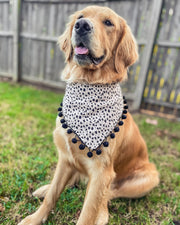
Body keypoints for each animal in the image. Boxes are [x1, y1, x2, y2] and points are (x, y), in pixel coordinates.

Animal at [18, 5, 159, 225]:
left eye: (108, 22)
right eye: (81, 16)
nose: (81, 26)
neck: (88, 83)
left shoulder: (102, 173)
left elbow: (88, 212)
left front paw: (94, 212)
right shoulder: (65, 157)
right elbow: (53, 194)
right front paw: (35, 218)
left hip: (148, 177)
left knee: (109, 194)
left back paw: (102, 212)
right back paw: (45, 189)